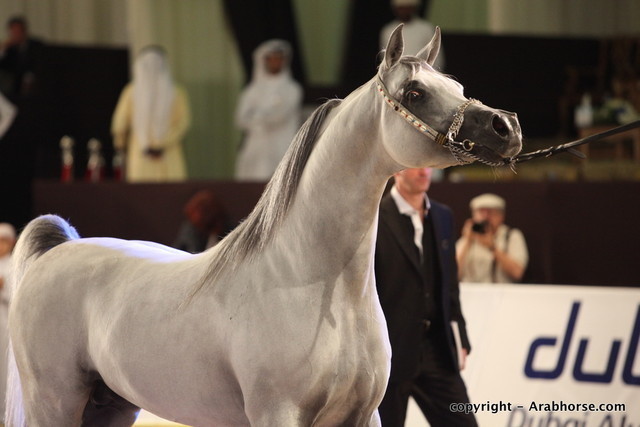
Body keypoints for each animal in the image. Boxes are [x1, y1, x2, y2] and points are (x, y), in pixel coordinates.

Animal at [7, 25, 522, 427]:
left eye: (457, 86)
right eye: (415, 92)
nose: (506, 127)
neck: (310, 281)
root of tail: (57, 249)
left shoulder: (363, 415)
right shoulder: (277, 413)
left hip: (111, 403)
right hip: (54, 402)